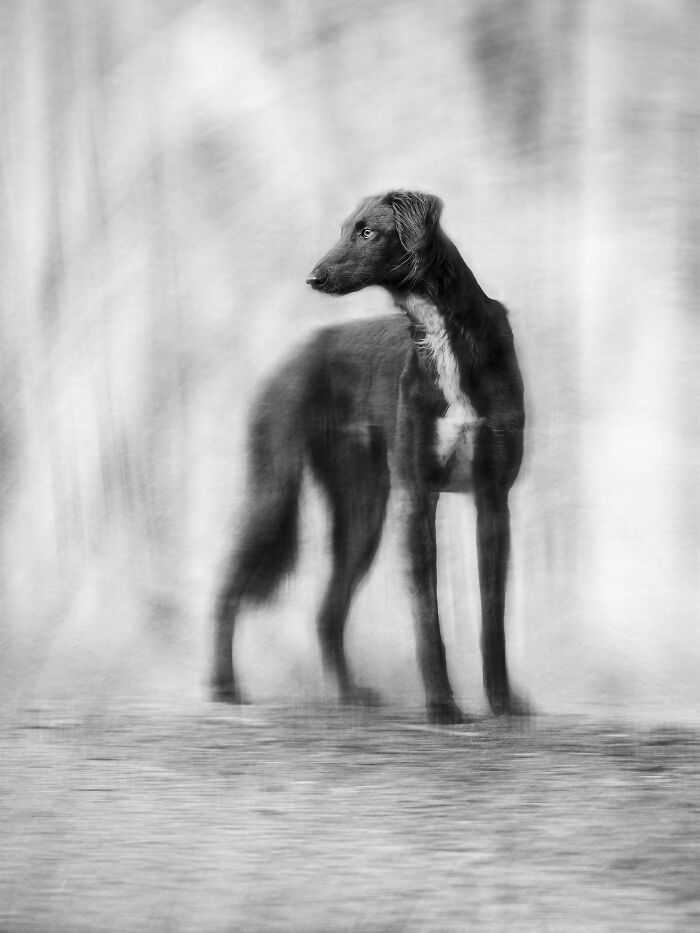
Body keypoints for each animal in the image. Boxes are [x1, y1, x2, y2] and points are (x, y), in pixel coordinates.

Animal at [213, 189, 524, 724]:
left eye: (366, 231)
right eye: (344, 229)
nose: (313, 278)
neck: (443, 335)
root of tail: (297, 351)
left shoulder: (492, 498)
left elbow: (492, 620)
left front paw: (503, 705)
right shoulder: (418, 496)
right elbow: (427, 619)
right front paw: (442, 707)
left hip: (362, 509)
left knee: (326, 613)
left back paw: (349, 696)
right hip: (276, 492)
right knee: (229, 585)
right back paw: (224, 687)